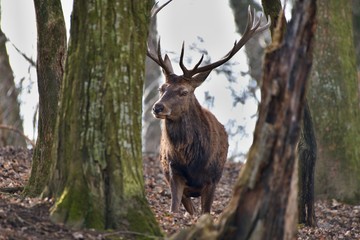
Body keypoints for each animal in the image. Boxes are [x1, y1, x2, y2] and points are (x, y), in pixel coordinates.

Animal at [147, 0, 270, 215]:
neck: (193, 162)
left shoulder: (212, 179)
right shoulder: (173, 172)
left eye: (183, 91)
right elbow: (174, 208)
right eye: (162, 88)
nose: (157, 108)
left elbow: (205, 212)